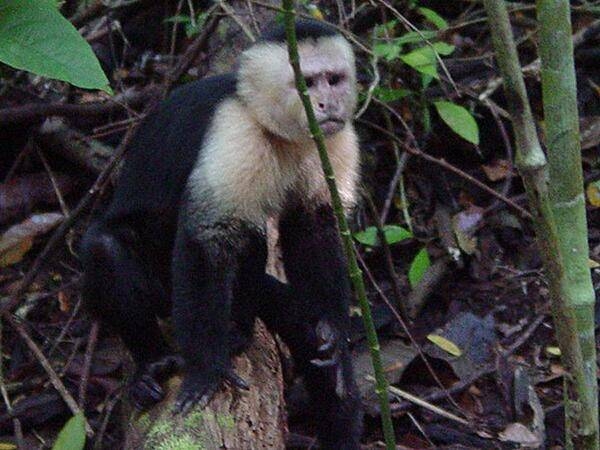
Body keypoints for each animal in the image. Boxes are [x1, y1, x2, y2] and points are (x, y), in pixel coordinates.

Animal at [82, 19, 364, 448]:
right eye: (307, 83)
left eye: (333, 80)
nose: (327, 105)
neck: (278, 130)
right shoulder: (235, 130)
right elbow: (206, 236)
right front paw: (206, 369)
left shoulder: (334, 141)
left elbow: (313, 226)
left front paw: (332, 325)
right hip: (163, 288)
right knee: (106, 247)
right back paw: (152, 363)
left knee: (251, 237)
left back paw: (238, 329)